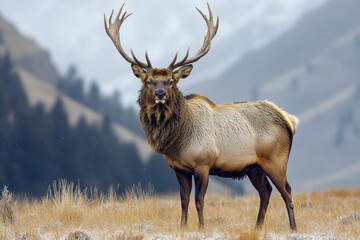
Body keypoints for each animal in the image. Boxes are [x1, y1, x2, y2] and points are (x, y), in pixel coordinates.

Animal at [104, 2, 298, 231]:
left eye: (171, 81)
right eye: (149, 81)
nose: (160, 93)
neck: (176, 141)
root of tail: (288, 120)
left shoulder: (203, 163)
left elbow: (199, 200)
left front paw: (201, 227)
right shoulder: (179, 169)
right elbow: (183, 200)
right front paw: (182, 227)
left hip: (275, 160)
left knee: (287, 191)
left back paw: (293, 227)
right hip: (254, 167)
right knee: (266, 192)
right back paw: (257, 227)